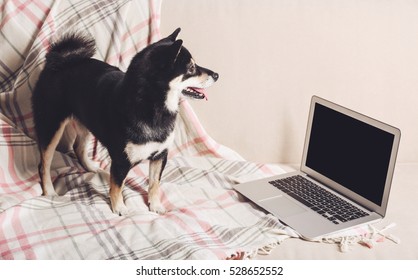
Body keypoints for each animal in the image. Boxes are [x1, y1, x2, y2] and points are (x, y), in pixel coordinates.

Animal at [31, 28, 219, 215]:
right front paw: (119, 207)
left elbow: (154, 184)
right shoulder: (121, 161)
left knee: (78, 147)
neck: (153, 108)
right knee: (43, 164)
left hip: (86, 121)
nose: (216, 74)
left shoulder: (160, 156)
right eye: (191, 68)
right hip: (51, 126)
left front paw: (155, 205)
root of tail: (61, 60)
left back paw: (91, 167)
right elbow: (116, 187)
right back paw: (49, 190)